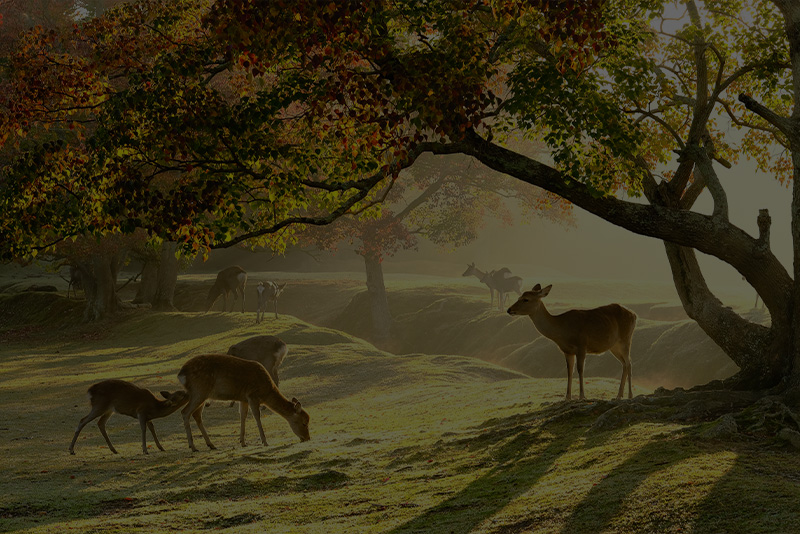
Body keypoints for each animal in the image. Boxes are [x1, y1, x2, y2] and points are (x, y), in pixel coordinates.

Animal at [177, 356, 310, 452]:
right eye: (304, 423)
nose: (307, 438)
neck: (266, 392)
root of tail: (181, 375)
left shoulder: (243, 399)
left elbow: (243, 416)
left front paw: (243, 442)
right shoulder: (252, 395)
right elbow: (257, 416)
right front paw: (265, 442)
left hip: (202, 395)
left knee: (196, 415)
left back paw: (211, 444)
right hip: (199, 391)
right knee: (185, 412)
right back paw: (193, 447)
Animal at [506, 284, 636, 402]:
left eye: (526, 299)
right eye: (518, 297)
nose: (509, 309)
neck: (562, 331)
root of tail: (634, 315)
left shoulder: (582, 345)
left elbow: (580, 369)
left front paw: (582, 396)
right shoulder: (567, 351)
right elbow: (569, 371)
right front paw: (567, 397)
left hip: (626, 339)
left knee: (629, 363)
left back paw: (630, 395)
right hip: (614, 346)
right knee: (624, 364)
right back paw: (619, 395)